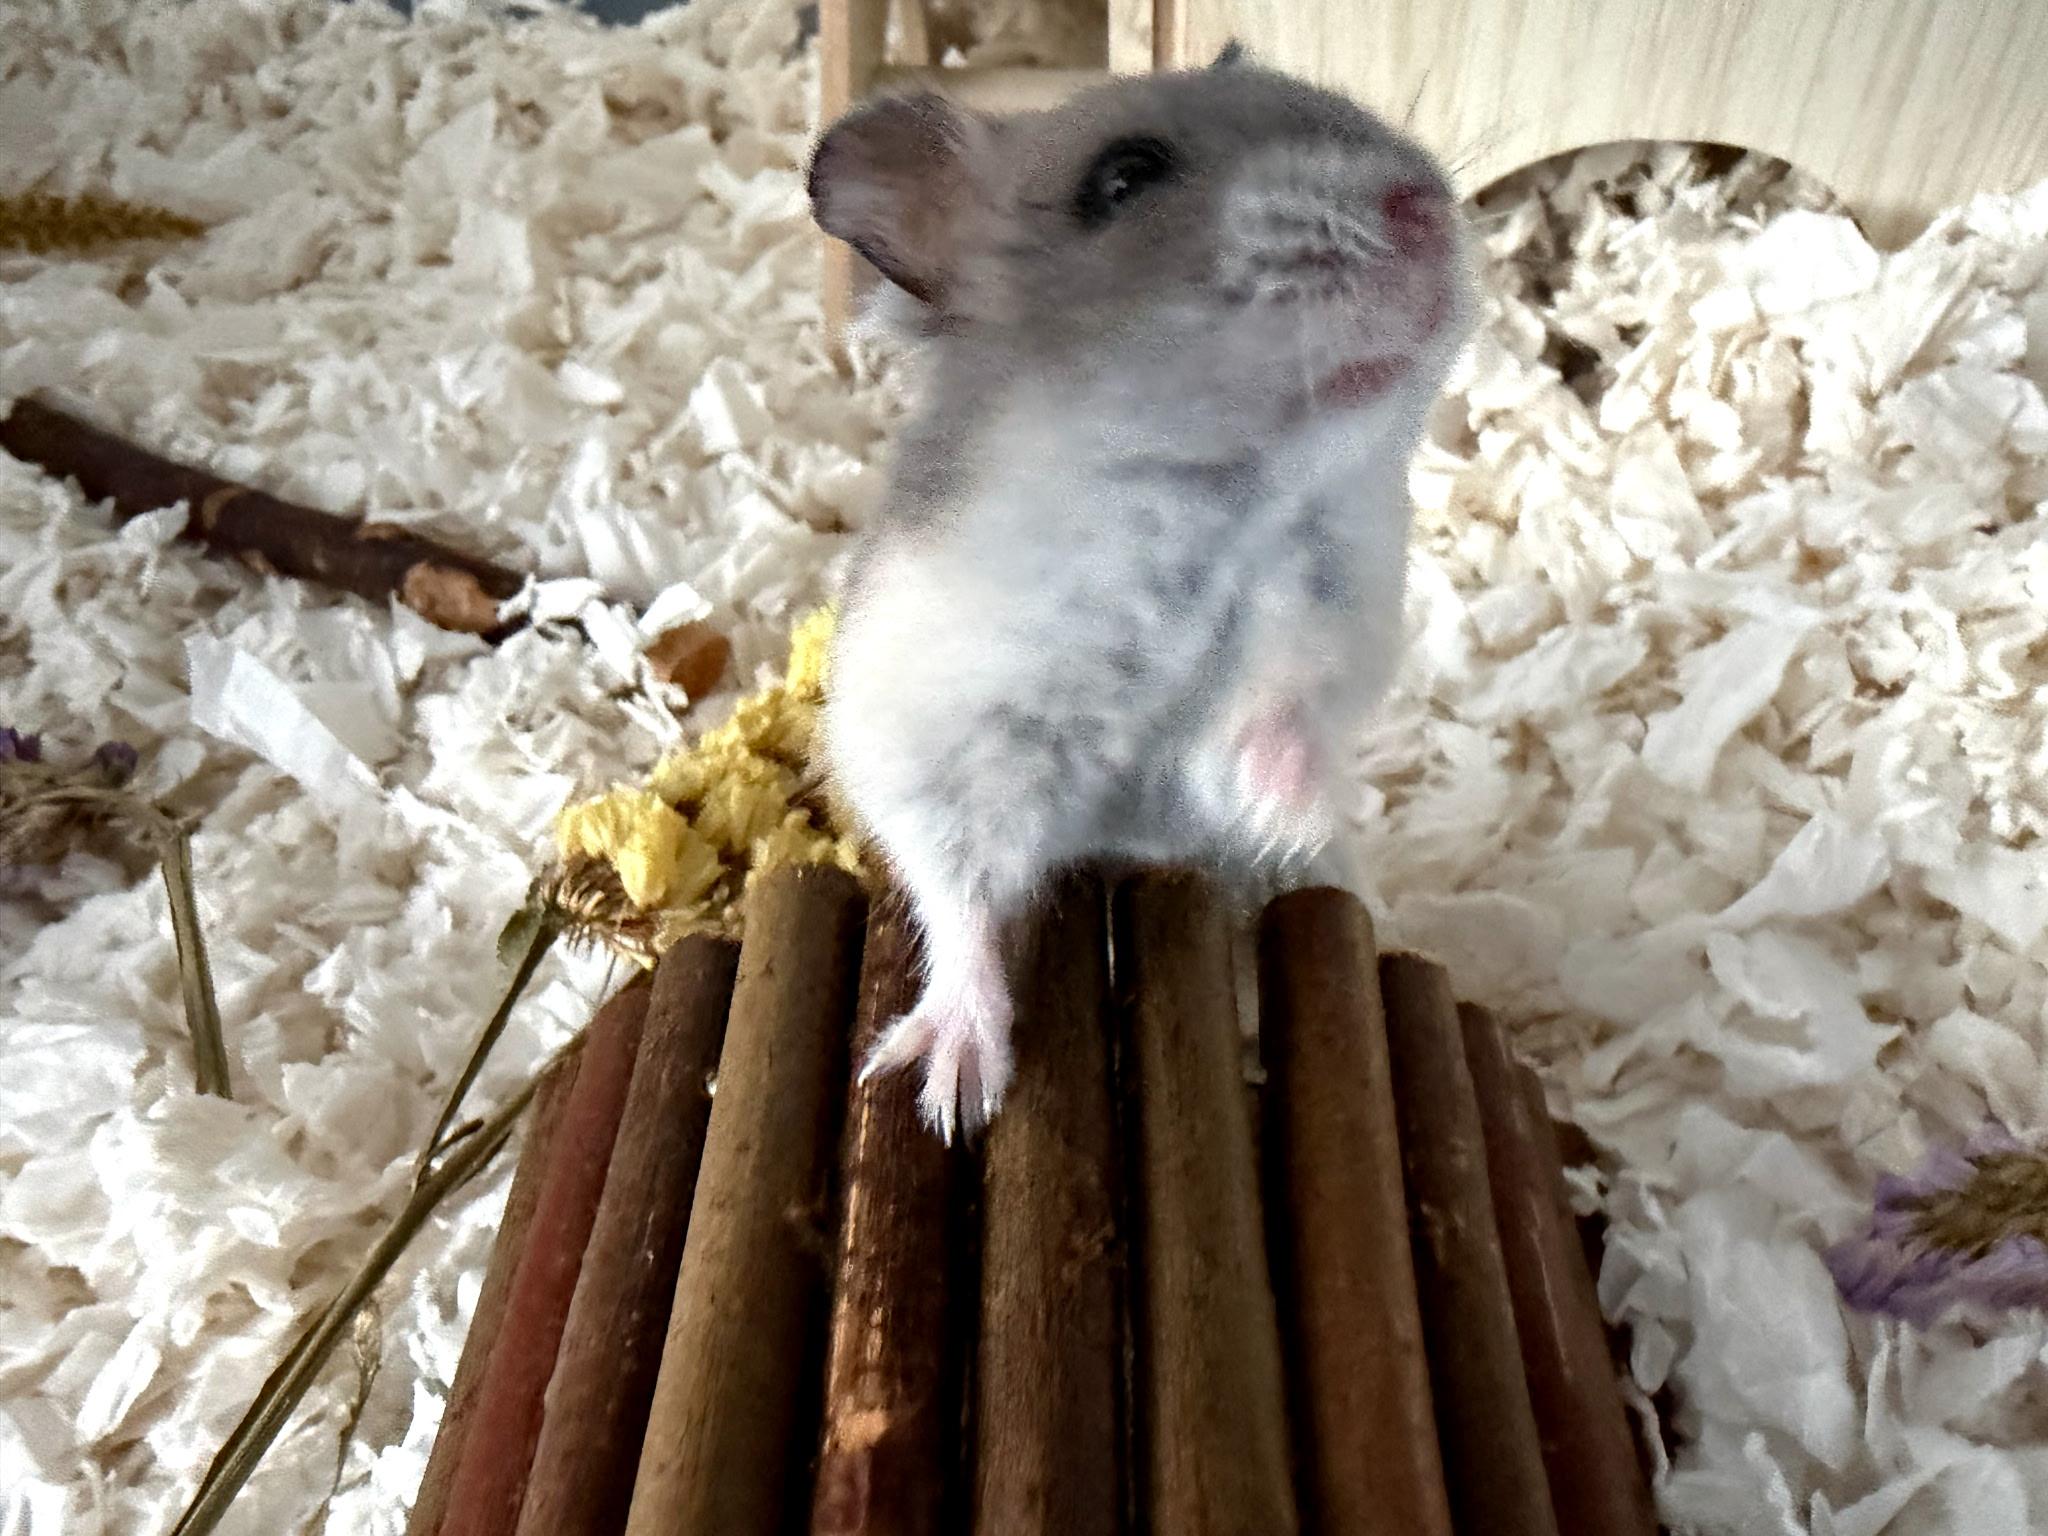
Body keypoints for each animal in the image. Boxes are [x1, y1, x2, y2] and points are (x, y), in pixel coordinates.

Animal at [808, 46, 1475, 1141]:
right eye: (1123, 179)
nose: (1427, 205)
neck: (1208, 501)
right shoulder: (928, 743)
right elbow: (960, 896)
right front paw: (949, 1096)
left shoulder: (1334, 608)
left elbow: (1284, 702)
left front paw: (1285, 810)